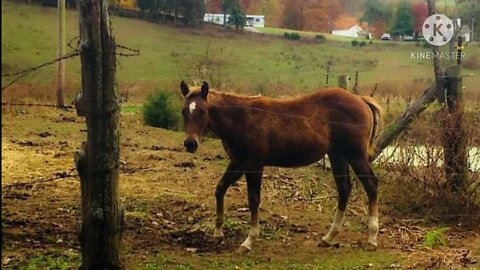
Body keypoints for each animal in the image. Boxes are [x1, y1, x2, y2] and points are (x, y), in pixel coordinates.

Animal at [180, 81, 382, 252]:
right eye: (184, 111)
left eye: (203, 111)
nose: (190, 144)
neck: (241, 118)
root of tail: (361, 100)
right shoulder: (237, 163)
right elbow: (220, 188)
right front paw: (218, 234)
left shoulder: (254, 165)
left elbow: (253, 199)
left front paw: (249, 241)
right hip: (337, 155)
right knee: (344, 189)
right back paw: (329, 237)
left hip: (355, 155)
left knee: (371, 184)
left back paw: (372, 238)